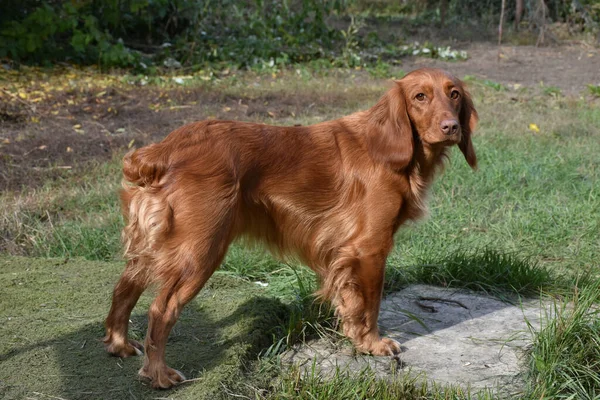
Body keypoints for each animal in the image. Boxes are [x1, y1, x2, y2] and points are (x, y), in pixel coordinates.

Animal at [104, 68, 478, 388]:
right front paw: (373, 344)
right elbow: (370, 303)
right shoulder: (370, 247)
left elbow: (350, 302)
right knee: (160, 310)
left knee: (124, 289)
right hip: (199, 252)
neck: (389, 145)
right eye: (419, 96)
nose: (450, 127)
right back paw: (158, 375)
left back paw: (119, 345)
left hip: (155, 246)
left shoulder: (346, 253)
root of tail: (163, 149)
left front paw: (356, 338)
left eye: (454, 94)